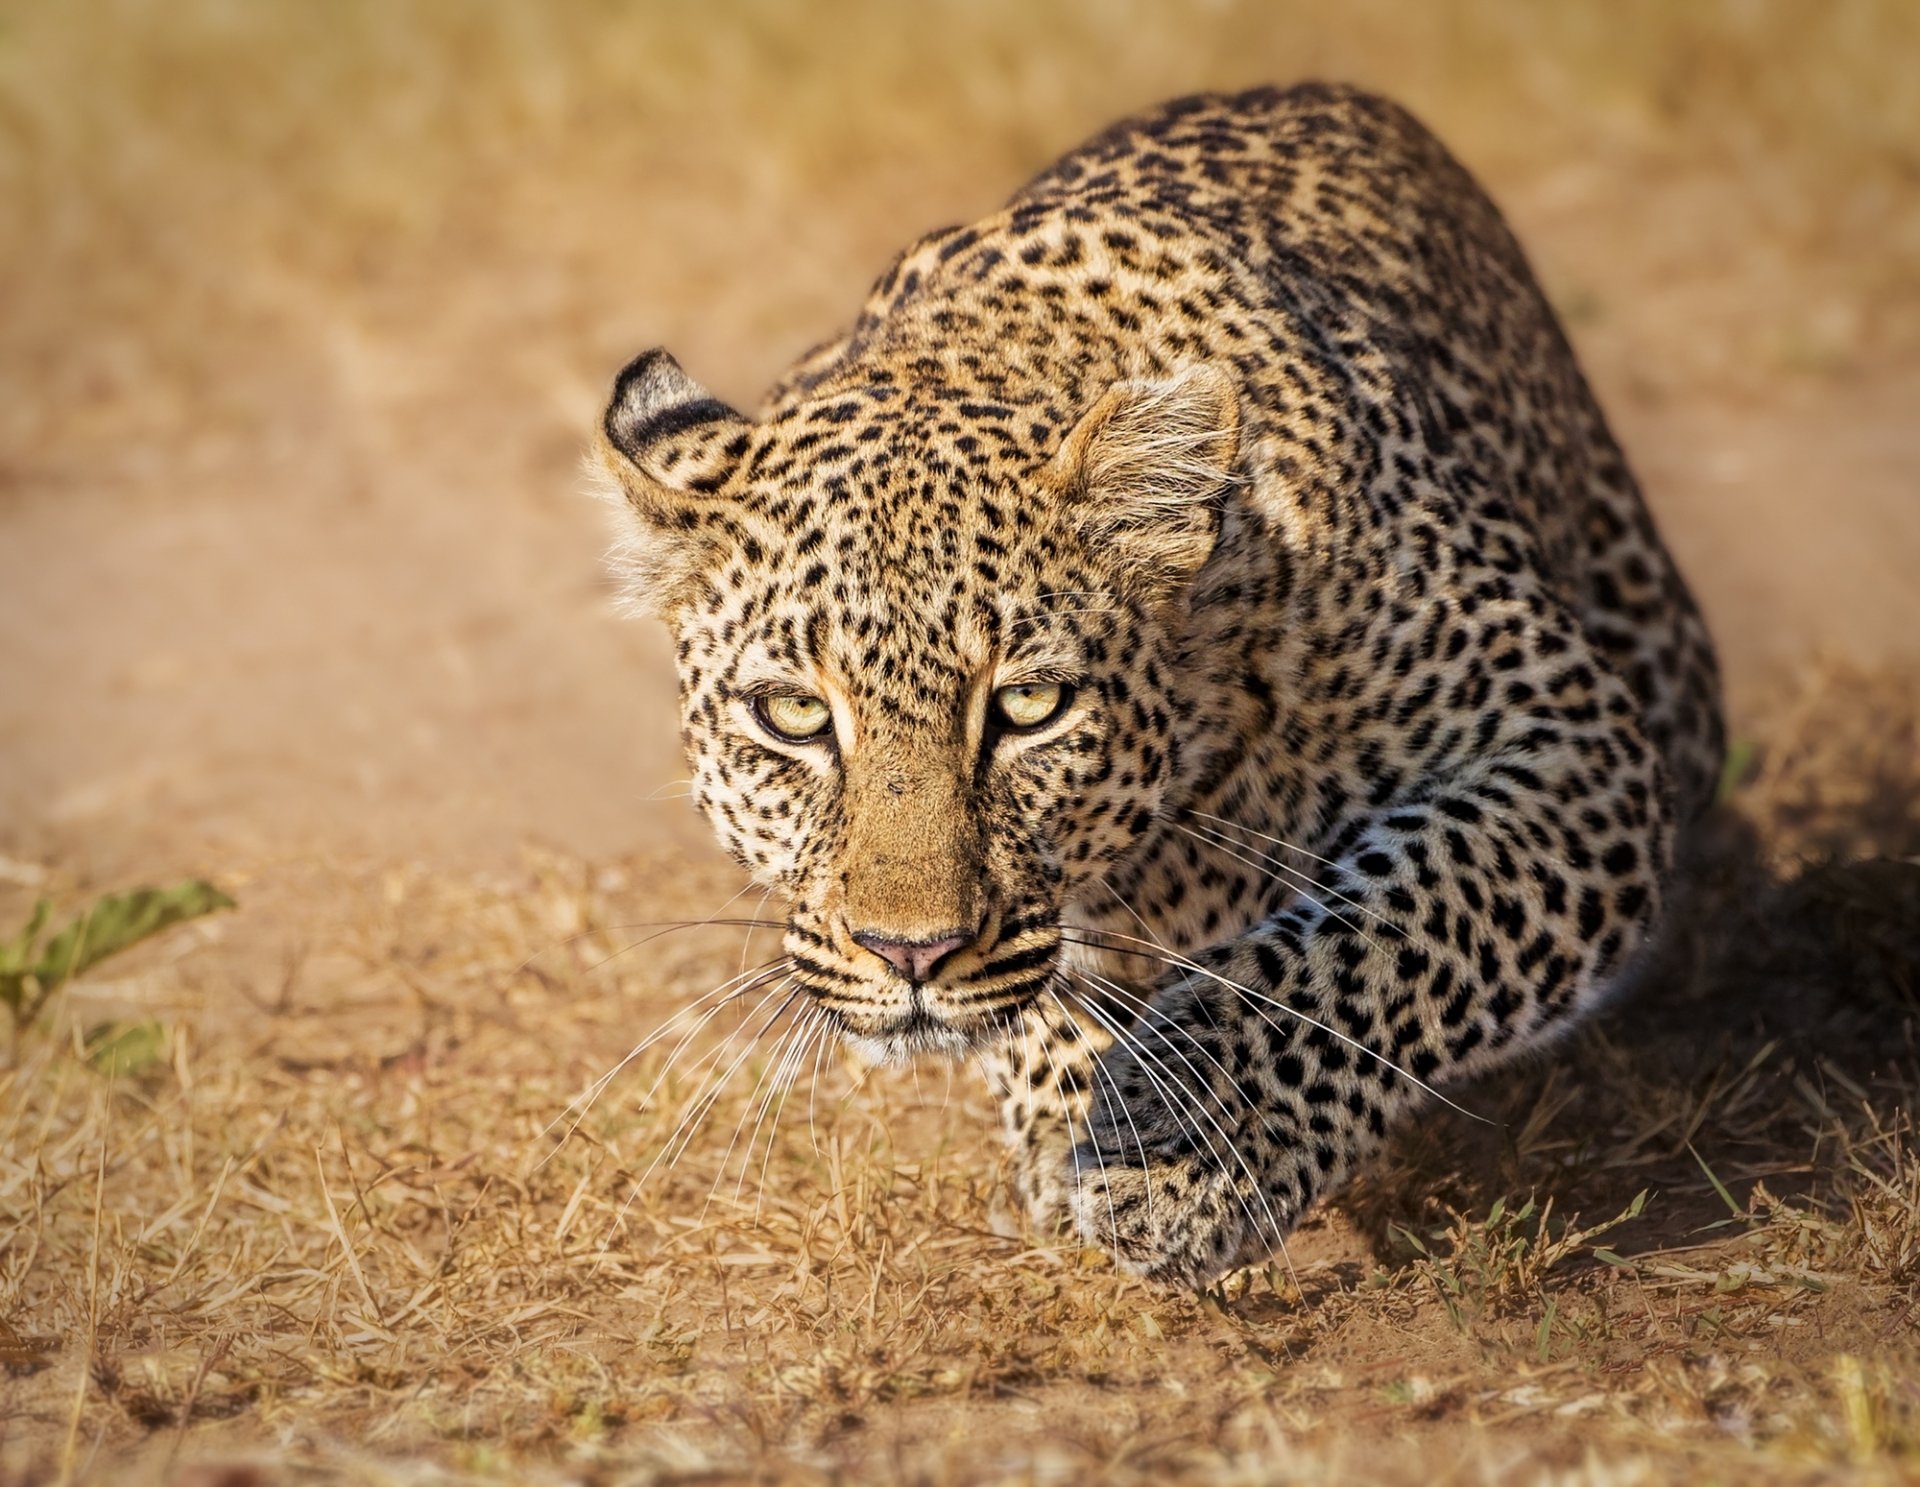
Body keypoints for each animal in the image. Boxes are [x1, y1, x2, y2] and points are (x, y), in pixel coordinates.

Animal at [592, 82, 1724, 1287]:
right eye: (796, 714)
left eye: (1029, 707)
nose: (911, 953)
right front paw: (1079, 1110)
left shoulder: (1566, 737)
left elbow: (1383, 929)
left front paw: (1181, 1153)